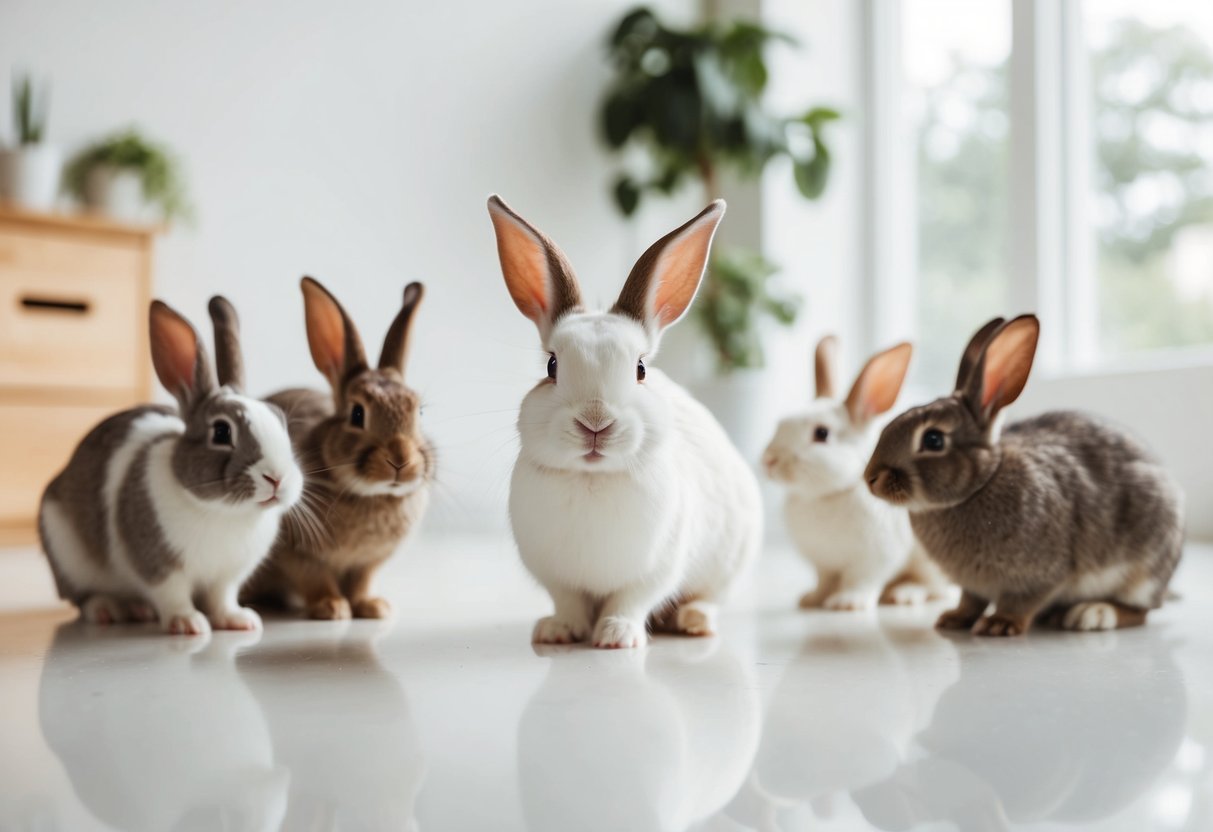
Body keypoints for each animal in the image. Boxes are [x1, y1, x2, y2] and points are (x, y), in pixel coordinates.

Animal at [38, 297, 305, 635]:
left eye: (280, 421)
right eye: (221, 432)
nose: (278, 478)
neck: (224, 512)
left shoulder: (227, 576)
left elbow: (222, 597)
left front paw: (239, 620)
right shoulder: (158, 565)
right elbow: (172, 594)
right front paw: (188, 623)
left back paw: (140, 610)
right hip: (68, 557)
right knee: (83, 598)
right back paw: (109, 609)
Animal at [241, 276, 436, 620]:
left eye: (419, 412)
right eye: (357, 414)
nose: (400, 460)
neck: (372, 496)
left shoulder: (367, 563)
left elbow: (361, 582)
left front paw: (373, 607)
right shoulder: (299, 554)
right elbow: (315, 578)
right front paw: (331, 607)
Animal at [482, 197, 756, 650]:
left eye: (640, 369)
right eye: (552, 366)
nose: (595, 423)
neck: (594, 478)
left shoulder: (656, 568)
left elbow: (631, 600)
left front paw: (616, 636)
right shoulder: (555, 576)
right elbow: (568, 602)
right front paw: (558, 631)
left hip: (729, 565)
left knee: (710, 598)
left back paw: (694, 621)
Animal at [761, 334, 950, 616]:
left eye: (822, 434)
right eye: (781, 423)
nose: (768, 460)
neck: (828, 495)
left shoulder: (873, 559)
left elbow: (860, 580)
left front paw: (847, 603)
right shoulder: (823, 563)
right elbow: (824, 581)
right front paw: (812, 599)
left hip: (929, 562)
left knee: (933, 588)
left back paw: (903, 593)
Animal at [868, 315, 1179, 640]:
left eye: (933, 440)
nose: (870, 478)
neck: (981, 483)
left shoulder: (1042, 574)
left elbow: (1021, 601)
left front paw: (999, 623)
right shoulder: (972, 586)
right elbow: (971, 600)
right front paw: (954, 618)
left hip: (1143, 572)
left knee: (1141, 611)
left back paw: (1091, 613)